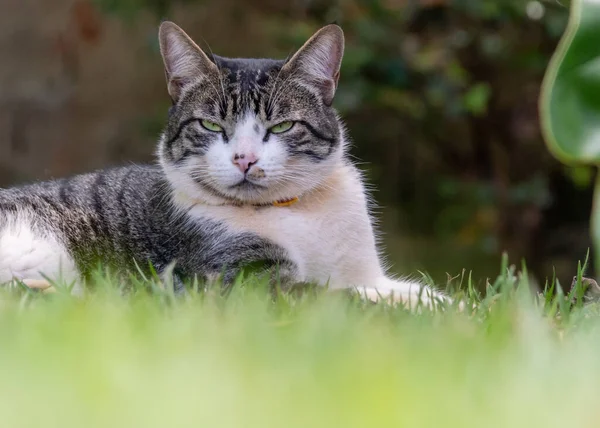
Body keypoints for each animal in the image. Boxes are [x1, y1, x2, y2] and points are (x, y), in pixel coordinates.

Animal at [0, 20, 446, 308]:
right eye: (212, 124)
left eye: (282, 125)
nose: (244, 158)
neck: (296, 212)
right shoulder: (247, 281)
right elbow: (343, 297)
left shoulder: (367, 272)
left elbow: (409, 291)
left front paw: (449, 307)